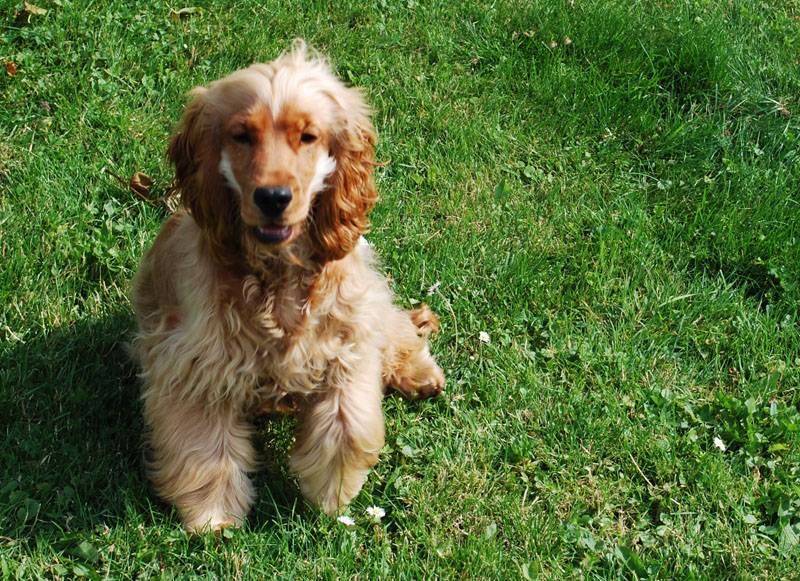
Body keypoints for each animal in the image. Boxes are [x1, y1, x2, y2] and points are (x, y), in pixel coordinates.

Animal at [131, 41, 445, 532]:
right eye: (242, 135)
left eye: (308, 136)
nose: (273, 198)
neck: (279, 274)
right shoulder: (194, 365)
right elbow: (203, 448)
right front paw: (213, 517)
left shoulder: (346, 341)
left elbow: (348, 426)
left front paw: (332, 495)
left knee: (396, 327)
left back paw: (420, 372)